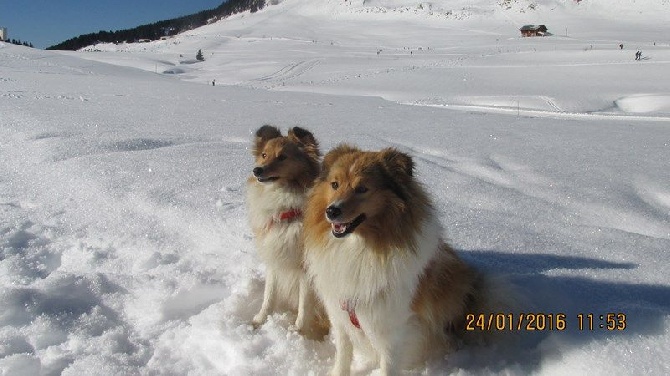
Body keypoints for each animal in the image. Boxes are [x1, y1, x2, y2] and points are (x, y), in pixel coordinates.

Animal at [249, 124, 328, 334]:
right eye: (264, 154)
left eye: (282, 157)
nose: (257, 170)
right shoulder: (275, 257)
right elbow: (269, 295)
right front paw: (260, 320)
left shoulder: (305, 269)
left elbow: (304, 304)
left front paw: (298, 331)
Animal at [306, 145, 488, 374]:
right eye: (334, 184)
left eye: (362, 188)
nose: (331, 210)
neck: (360, 249)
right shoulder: (341, 316)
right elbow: (343, 354)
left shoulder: (392, 327)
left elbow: (388, 365)